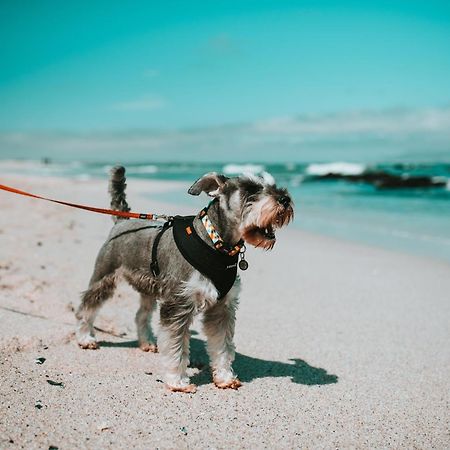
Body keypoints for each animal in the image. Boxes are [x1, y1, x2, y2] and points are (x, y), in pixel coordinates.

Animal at [75, 167, 294, 392]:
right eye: (250, 188)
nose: (285, 199)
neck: (216, 244)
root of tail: (123, 221)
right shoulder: (178, 305)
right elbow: (176, 347)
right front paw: (177, 381)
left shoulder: (222, 308)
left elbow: (222, 346)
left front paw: (224, 377)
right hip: (104, 276)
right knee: (87, 306)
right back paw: (85, 338)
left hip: (149, 288)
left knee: (141, 315)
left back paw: (146, 342)